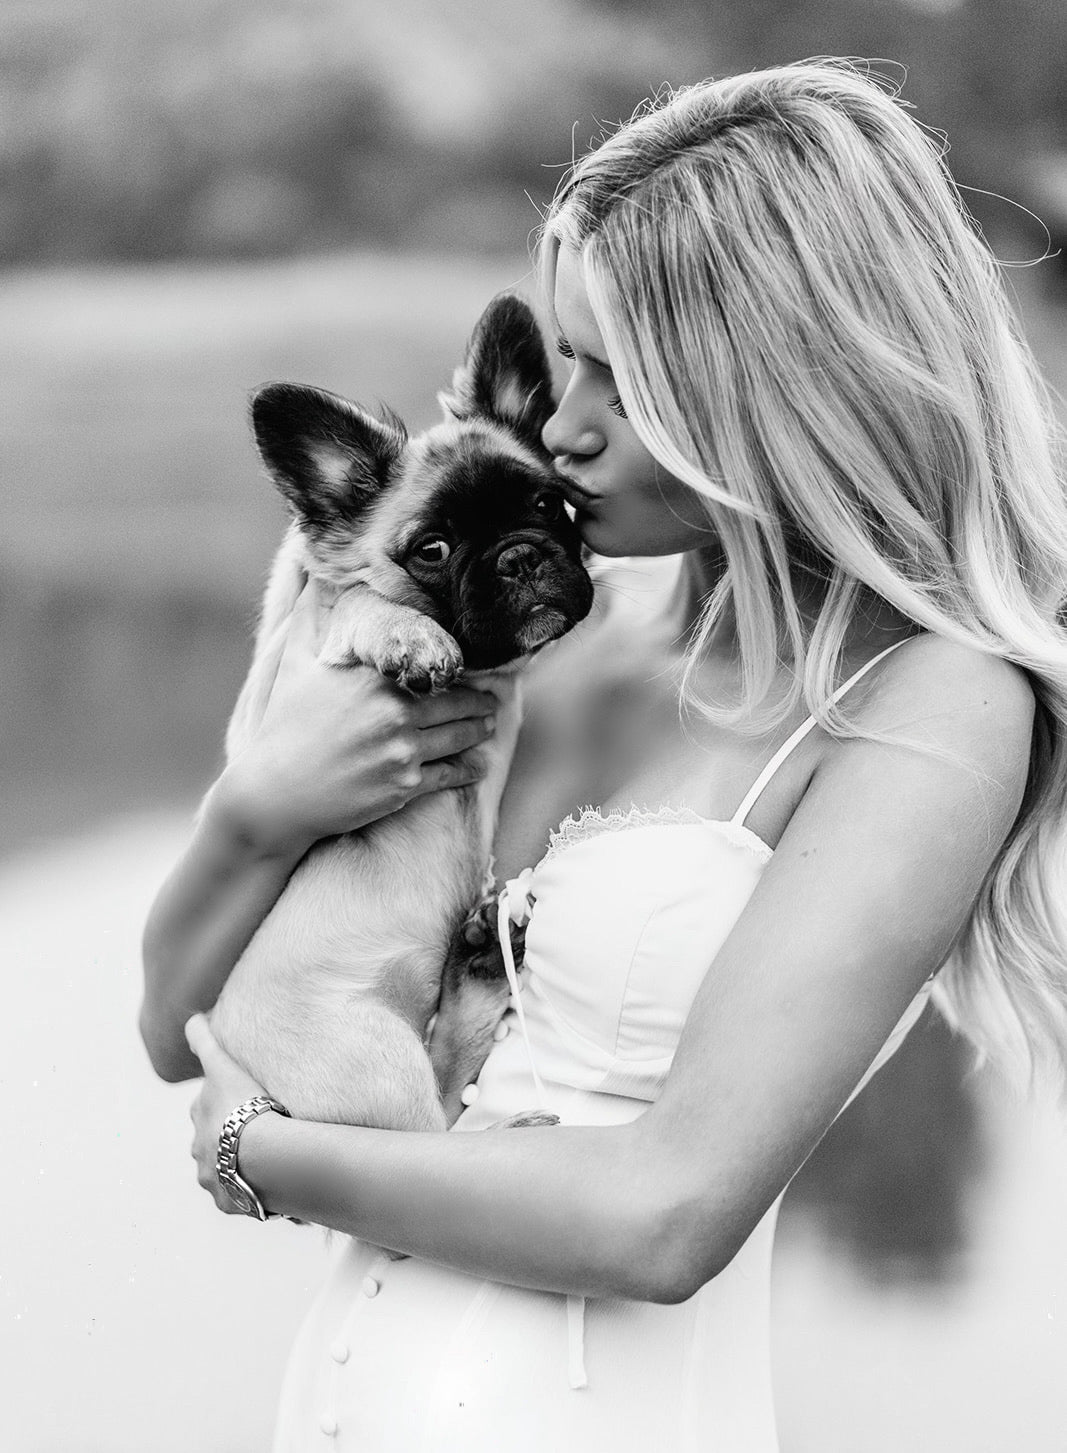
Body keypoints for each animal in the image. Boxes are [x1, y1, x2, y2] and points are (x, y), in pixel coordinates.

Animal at [209, 295, 594, 1132]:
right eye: (432, 549)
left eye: (548, 504)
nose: (520, 556)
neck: (487, 672)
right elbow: (357, 596)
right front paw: (410, 634)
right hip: (367, 1054)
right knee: (430, 1132)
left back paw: (478, 972)